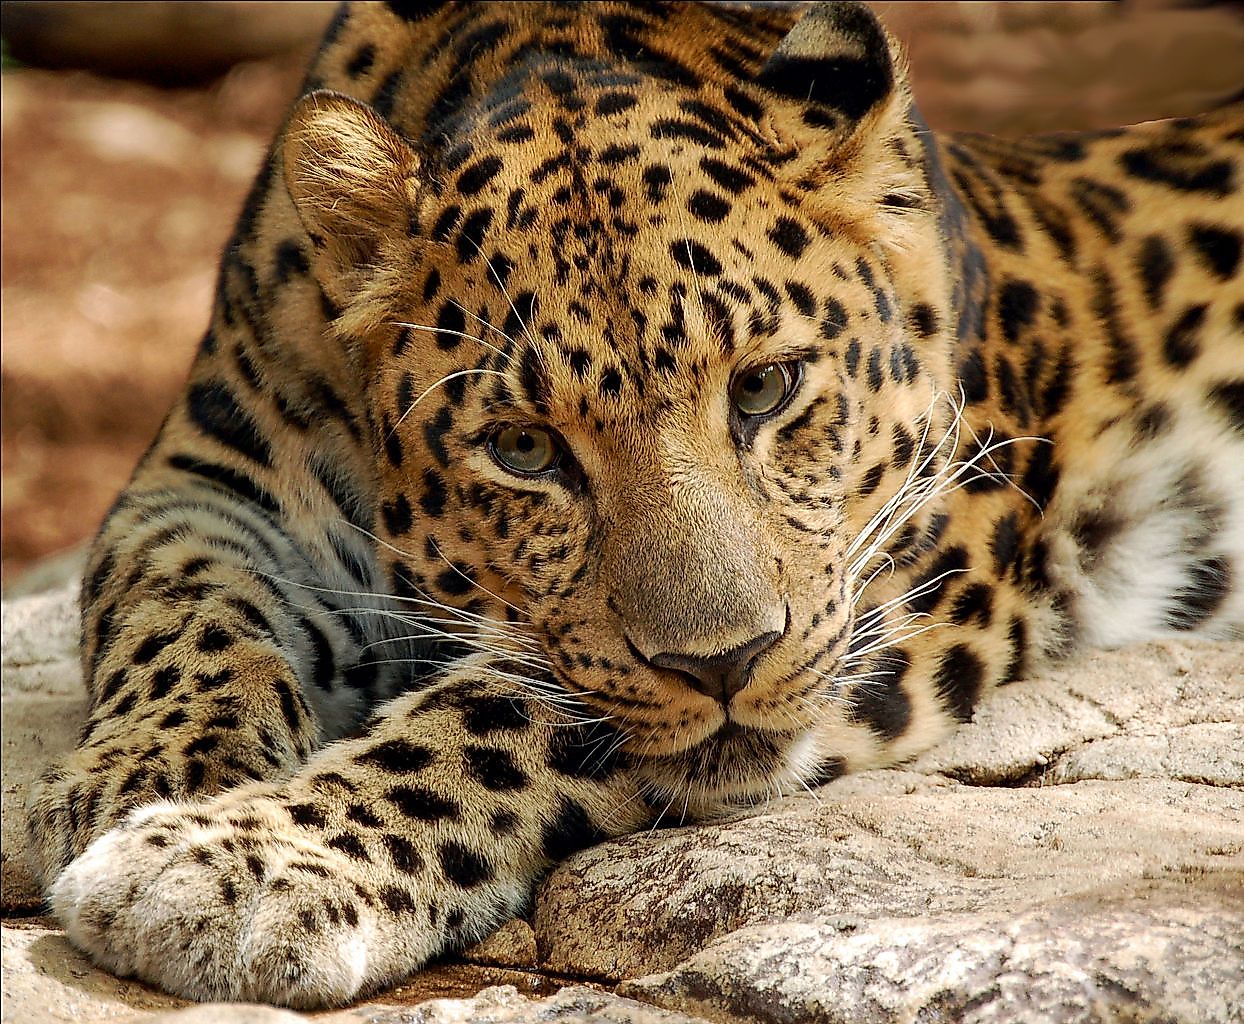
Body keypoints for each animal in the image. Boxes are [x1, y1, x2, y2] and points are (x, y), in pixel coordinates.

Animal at [21, 0, 1244, 1010]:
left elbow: (499, 719)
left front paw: (234, 863)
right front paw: (135, 778)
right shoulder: (211, 474)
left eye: (765, 387)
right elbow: (177, 604)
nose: (725, 663)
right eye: (524, 449)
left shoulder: (912, 553)